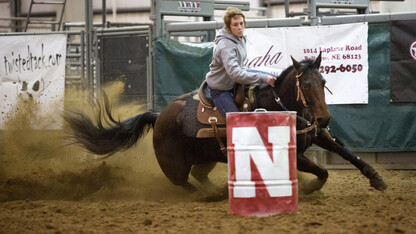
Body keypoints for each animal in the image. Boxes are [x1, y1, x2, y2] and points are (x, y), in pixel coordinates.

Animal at [64, 53, 386, 194]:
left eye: (323, 82)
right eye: (305, 85)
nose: (323, 118)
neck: (280, 106)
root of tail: (159, 116)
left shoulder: (315, 135)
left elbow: (348, 154)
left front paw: (376, 178)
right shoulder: (290, 152)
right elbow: (323, 172)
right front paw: (307, 187)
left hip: (208, 157)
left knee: (199, 176)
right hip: (174, 166)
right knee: (186, 184)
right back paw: (213, 195)